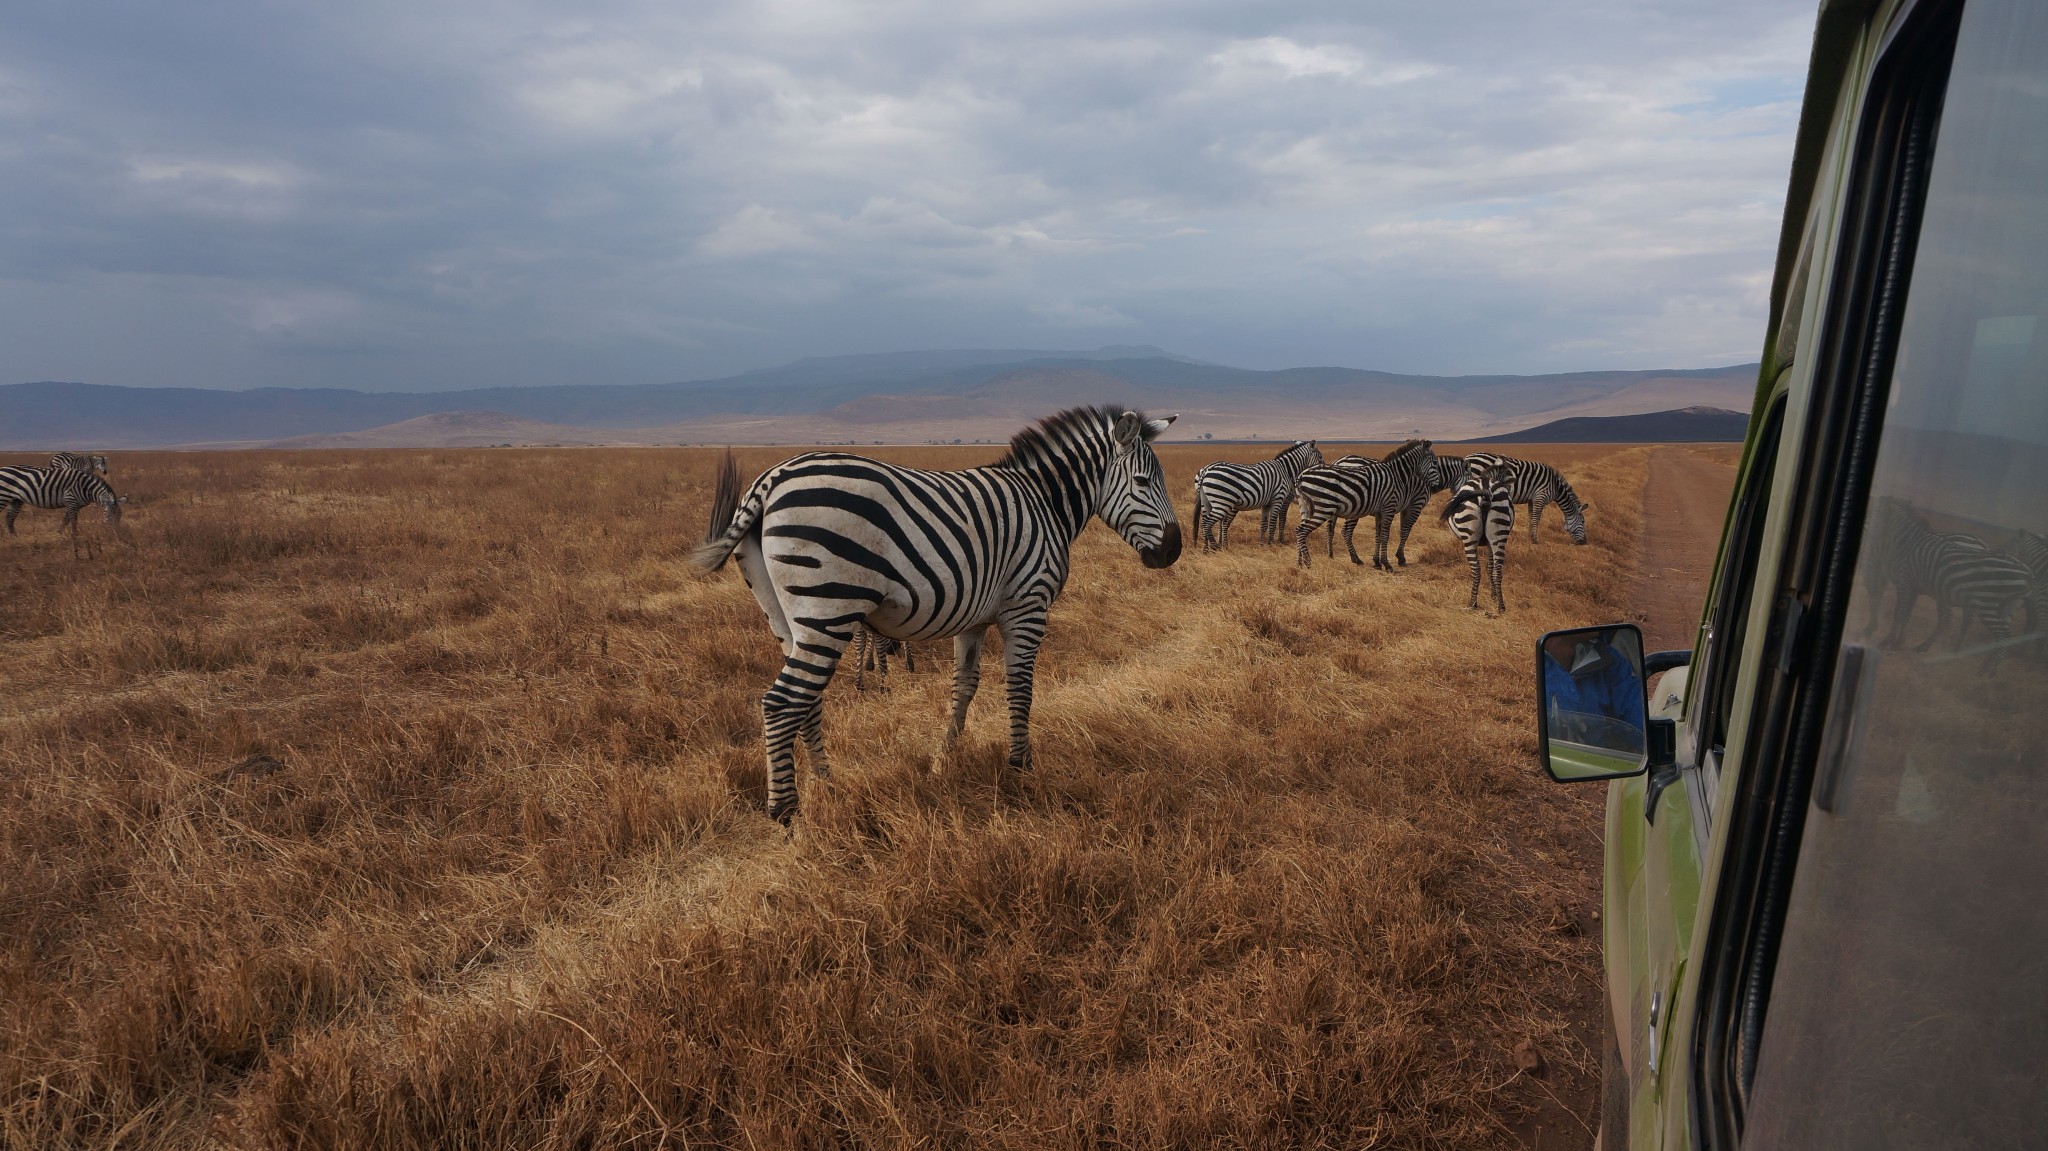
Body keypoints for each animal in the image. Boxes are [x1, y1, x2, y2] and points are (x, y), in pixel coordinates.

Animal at [692, 401, 1187, 815]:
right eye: (1143, 482)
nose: (1174, 551)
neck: (1045, 503)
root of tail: (771, 479)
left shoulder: (975, 617)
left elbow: (963, 686)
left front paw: (943, 758)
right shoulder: (1027, 605)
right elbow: (1020, 688)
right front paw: (1020, 767)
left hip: (785, 615)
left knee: (805, 700)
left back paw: (827, 783)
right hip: (827, 608)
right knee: (781, 702)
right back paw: (785, 812)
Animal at [1187, 438, 1327, 544]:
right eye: (1320, 457)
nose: (1325, 468)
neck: (1285, 469)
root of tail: (1206, 471)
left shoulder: (1267, 503)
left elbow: (1264, 523)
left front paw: (1262, 542)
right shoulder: (1280, 498)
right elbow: (1276, 521)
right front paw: (1273, 542)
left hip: (1208, 501)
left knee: (1207, 522)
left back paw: (1209, 547)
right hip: (1223, 501)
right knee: (1212, 523)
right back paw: (1217, 546)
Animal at [1294, 436, 1441, 565]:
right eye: (1435, 462)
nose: (1436, 486)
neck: (1397, 474)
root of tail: (1301, 475)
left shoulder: (1380, 511)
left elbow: (1379, 535)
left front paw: (1378, 562)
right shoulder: (1393, 507)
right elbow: (1388, 535)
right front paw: (1388, 563)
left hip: (1307, 506)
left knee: (1301, 530)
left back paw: (1301, 562)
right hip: (1325, 507)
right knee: (1302, 531)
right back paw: (1309, 563)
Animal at [1441, 462, 1523, 614]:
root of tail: (1485, 490)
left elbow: (1486, 567)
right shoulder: (1490, 543)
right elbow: (1490, 567)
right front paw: (1494, 596)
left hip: (1469, 536)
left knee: (1476, 569)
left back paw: (1472, 603)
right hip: (1499, 533)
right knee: (1498, 570)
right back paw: (1501, 607)